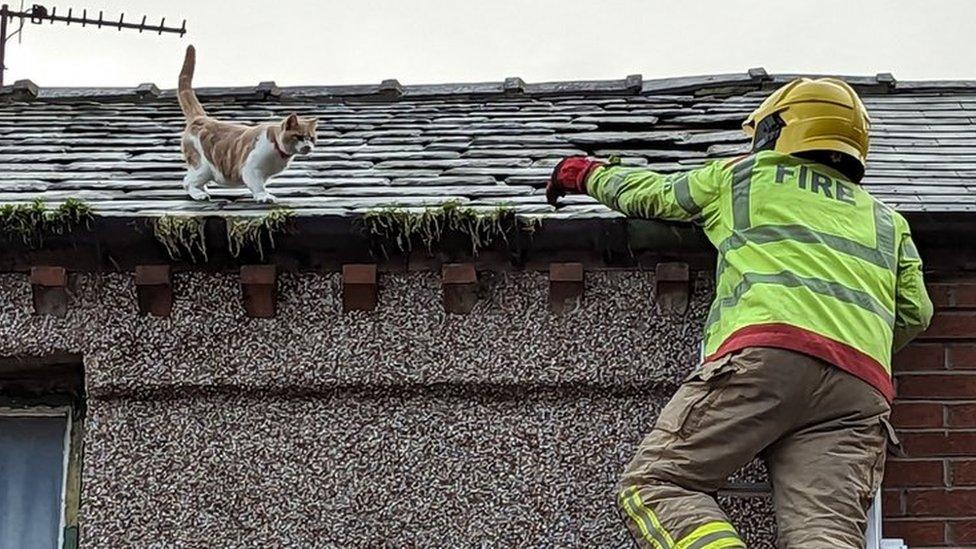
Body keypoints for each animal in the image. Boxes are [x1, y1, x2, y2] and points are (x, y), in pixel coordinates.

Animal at [173, 45, 314, 203]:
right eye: (298, 136)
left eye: (311, 138)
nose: (308, 146)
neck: (279, 153)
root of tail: (201, 118)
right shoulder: (250, 169)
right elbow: (257, 185)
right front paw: (264, 196)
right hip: (203, 167)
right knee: (187, 181)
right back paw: (199, 194)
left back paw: (203, 190)